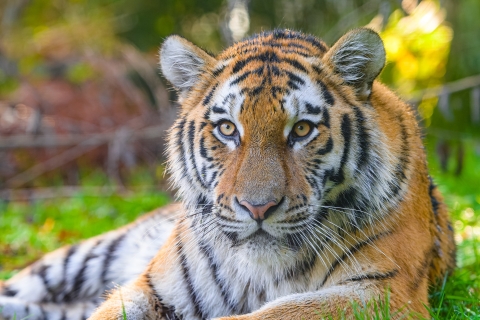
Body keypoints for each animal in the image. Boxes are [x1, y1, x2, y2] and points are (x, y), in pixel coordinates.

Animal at [0, 28, 458, 320]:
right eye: (227, 129)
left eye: (302, 130)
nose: (258, 208)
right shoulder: (153, 287)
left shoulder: (381, 292)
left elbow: (276, 313)